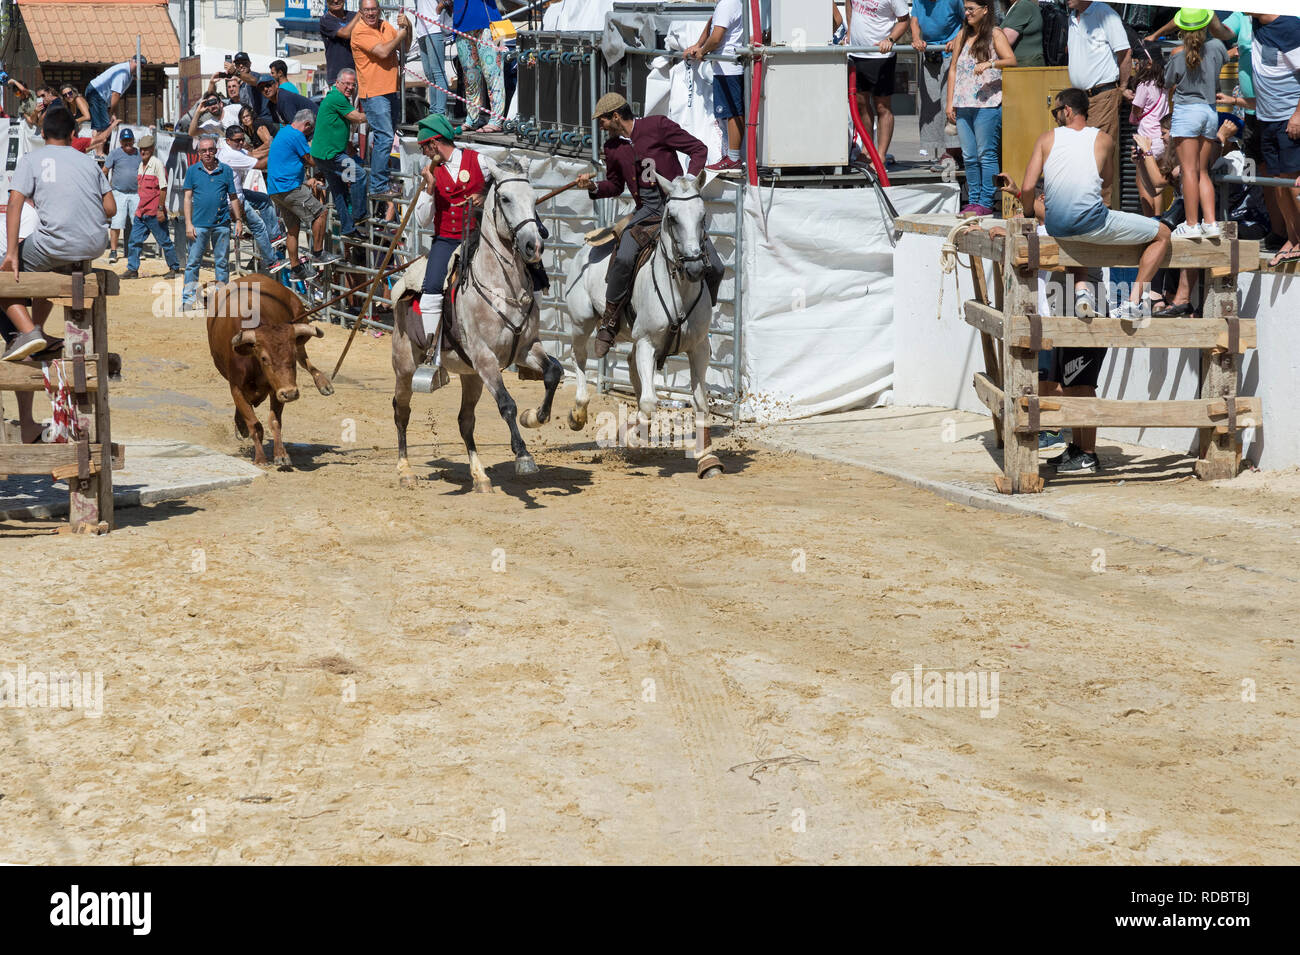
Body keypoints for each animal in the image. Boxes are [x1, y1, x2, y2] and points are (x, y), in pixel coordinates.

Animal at [204, 272, 335, 467]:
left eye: (290, 354)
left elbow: (274, 421)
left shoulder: (277, 389)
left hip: (300, 323)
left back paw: (324, 383)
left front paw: (281, 454)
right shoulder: (237, 389)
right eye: (264, 358)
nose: (291, 393)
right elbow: (254, 424)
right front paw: (260, 458)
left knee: (306, 360)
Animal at [390, 155, 564, 493]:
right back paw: (404, 471)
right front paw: (523, 457)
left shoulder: (525, 349)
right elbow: (507, 404)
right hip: (405, 365)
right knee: (401, 411)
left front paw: (534, 416)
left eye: (534, 197)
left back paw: (480, 476)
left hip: (470, 376)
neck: (501, 287)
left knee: (465, 421)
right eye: (505, 198)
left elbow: (553, 373)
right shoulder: (486, 359)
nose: (534, 245)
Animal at [561, 171, 722, 478]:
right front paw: (628, 435)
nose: (695, 267)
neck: (679, 290)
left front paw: (707, 460)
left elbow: (700, 402)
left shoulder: (698, 348)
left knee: (632, 367)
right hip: (580, 322)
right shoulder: (648, 342)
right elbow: (649, 402)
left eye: (703, 215)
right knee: (578, 358)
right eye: (672, 218)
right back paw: (578, 412)